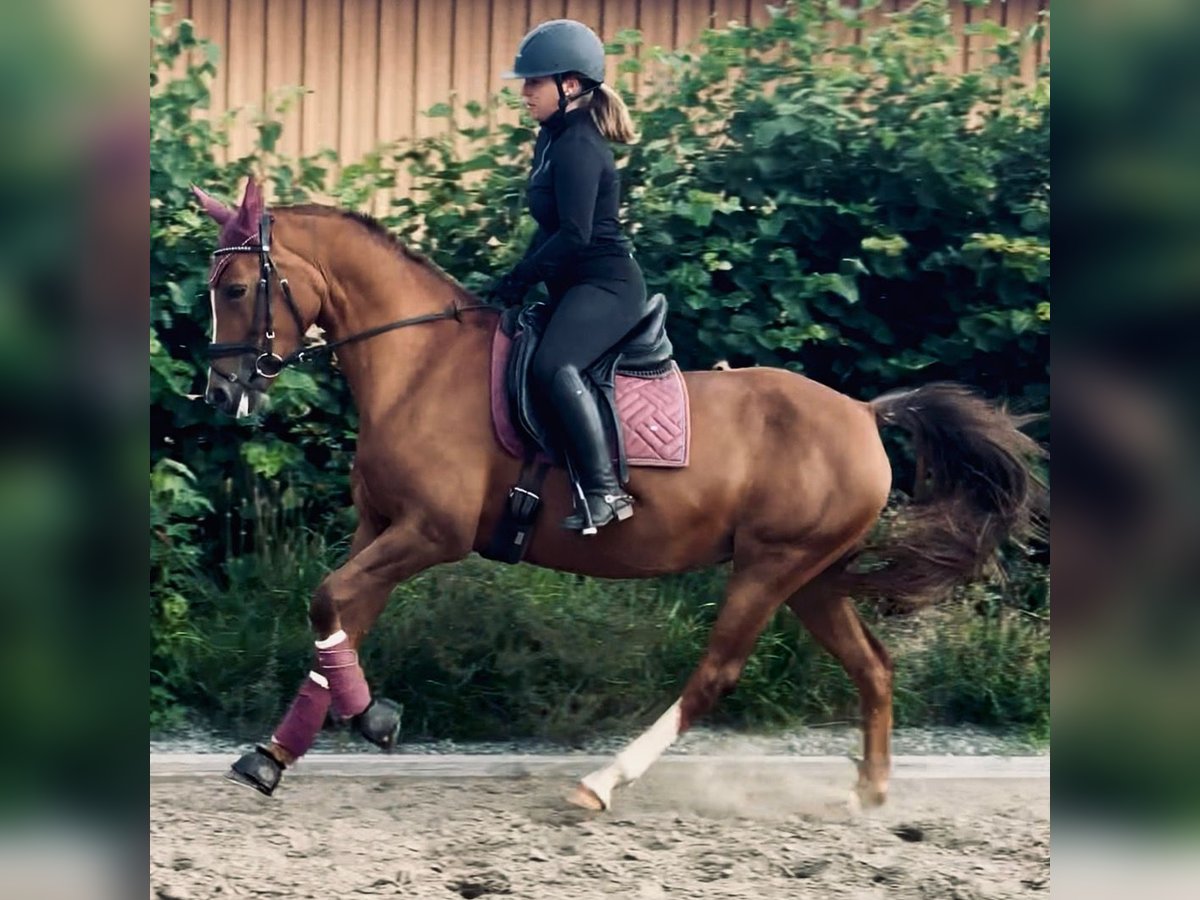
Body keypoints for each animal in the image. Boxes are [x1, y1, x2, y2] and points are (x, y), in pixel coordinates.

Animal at [192, 177, 1043, 811]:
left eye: (234, 288)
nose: (221, 390)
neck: (419, 362)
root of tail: (865, 413)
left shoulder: (430, 533)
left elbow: (331, 603)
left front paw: (373, 719)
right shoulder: (381, 529)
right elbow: (337, 618)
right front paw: (275, 754)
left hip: (771, 568)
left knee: (715, 675)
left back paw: (604, 782)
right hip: (813, 578)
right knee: (873, 667)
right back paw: (870, 794)